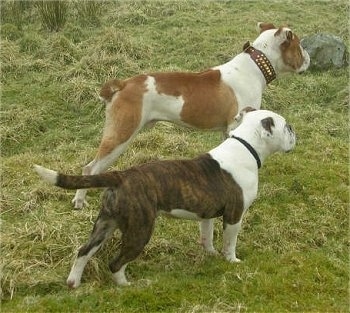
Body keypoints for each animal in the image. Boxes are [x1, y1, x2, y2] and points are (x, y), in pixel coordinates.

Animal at [34, 108, 296, 288]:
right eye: (286, 127)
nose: (294, 130)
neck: (245, 147)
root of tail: (121, 175)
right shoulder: (234, 215)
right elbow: (229, 242)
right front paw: (231, 260)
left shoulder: (207, 214)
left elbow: (207, 236)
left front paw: (210, 254)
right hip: (140, 230)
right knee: (116, 263)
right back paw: (127, 286)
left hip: (105, 224)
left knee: (83, 251)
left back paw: (73, 283)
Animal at [71, 21, 308, 207]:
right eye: (300, 46)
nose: (308, 57)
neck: (255, 66)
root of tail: (123, 84)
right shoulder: (237, 124)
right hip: (121, 135)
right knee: (90, 168)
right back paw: (80, 200)